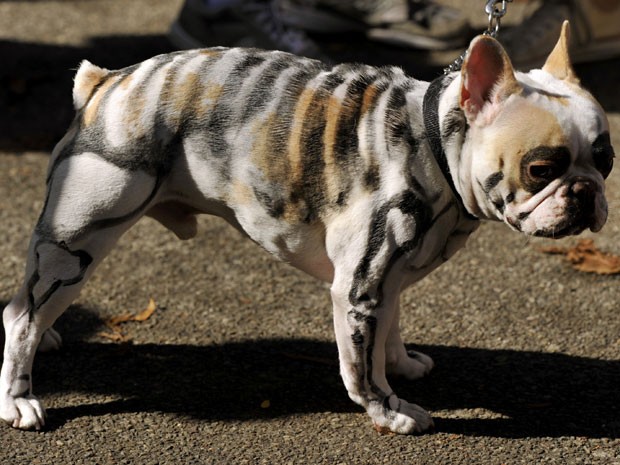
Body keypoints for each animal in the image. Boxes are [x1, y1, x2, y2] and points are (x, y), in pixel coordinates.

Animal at [0, 20, 612, 436]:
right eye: (541, 169)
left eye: (605, 160)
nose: (586, 192)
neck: (434, 145)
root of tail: (106, 83)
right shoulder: (359, 290)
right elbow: (361, 369)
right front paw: (390, 412)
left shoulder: (384, 283)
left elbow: (388, 332)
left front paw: (402, 364)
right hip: (77, 241)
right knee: (23, 319)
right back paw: (20, 398)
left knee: (24, 308)